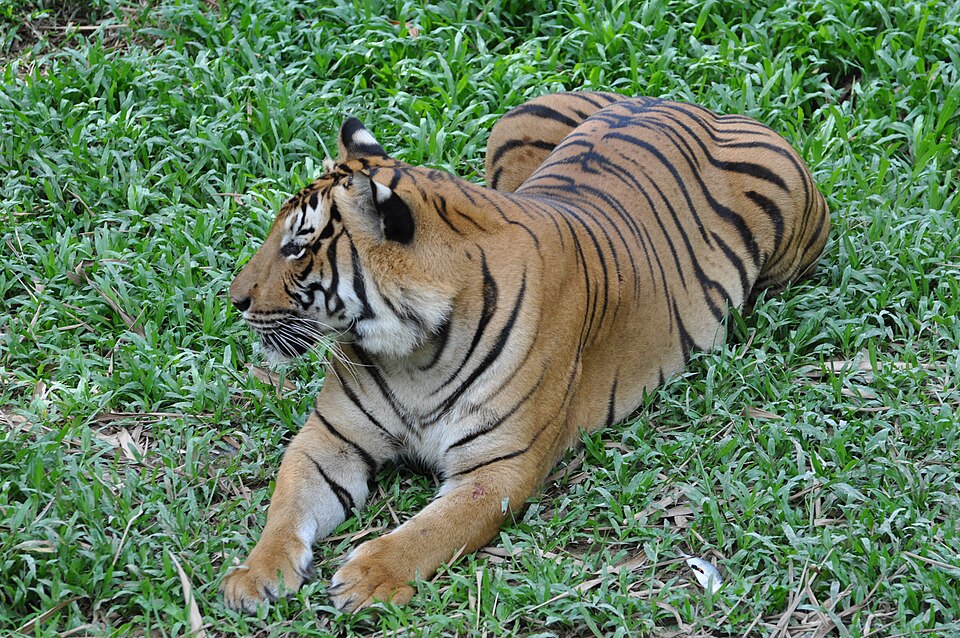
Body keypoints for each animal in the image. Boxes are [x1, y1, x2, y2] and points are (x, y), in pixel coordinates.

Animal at [221, 91, 830, 613]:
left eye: (296, 247)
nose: (234, 299)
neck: (414, 352)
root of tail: (681, 102)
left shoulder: (498, 467)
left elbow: (432, 530)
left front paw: (369, 576)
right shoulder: (330, 438)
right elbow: (287, 504)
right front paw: (254, 576)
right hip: (514, 126)